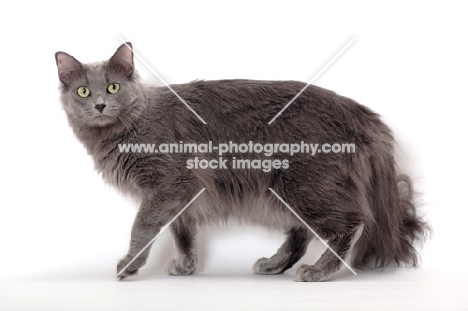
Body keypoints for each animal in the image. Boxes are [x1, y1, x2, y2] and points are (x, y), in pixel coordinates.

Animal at [54, 42, 428, 282]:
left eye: (113, 88)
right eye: (83, 91)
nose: (100, 105)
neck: (126, 128)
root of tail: (361, 113)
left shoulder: (169, 183)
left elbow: (142, 228)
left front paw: (129, 265)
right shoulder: (183, 195)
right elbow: (183, 234)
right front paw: (185, 267)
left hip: (304, 185)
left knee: (348, 224)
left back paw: (317, 271)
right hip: (288, 191)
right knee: (300, 235)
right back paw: (274, 265)